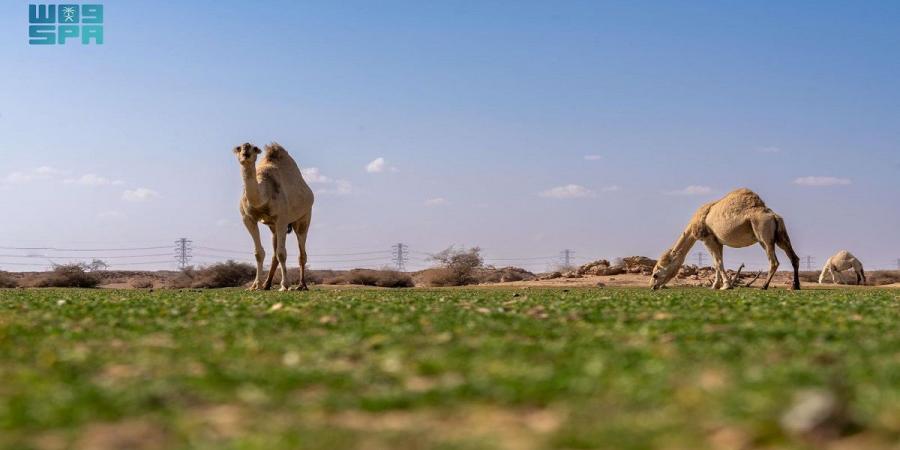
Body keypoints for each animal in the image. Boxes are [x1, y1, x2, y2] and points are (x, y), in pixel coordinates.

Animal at [234, 142, 314, 294]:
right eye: (238, 148)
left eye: (254, 148)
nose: (246, 150)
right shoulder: (247, 219)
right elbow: (259, 253)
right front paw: (255, 285)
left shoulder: (282, 219)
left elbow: (282, 253)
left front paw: (285, 285)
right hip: (273, 226)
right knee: (274, 254)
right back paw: (267, 284)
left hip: (304, 217)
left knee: (302, 253)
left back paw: (302, 285)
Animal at [648, 187, 800, 290]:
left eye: (655, 274)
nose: (652, 286)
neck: (693, 227)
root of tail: (773, 215)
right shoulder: (717, 241)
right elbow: (717, 262)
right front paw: (715, 285)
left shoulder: (707, 238)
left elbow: (718, 262)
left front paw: (726, 286)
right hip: (781, 234)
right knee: (794, 257)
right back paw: (795, 286)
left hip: (763, 234)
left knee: (774, 261)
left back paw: (764, 286)